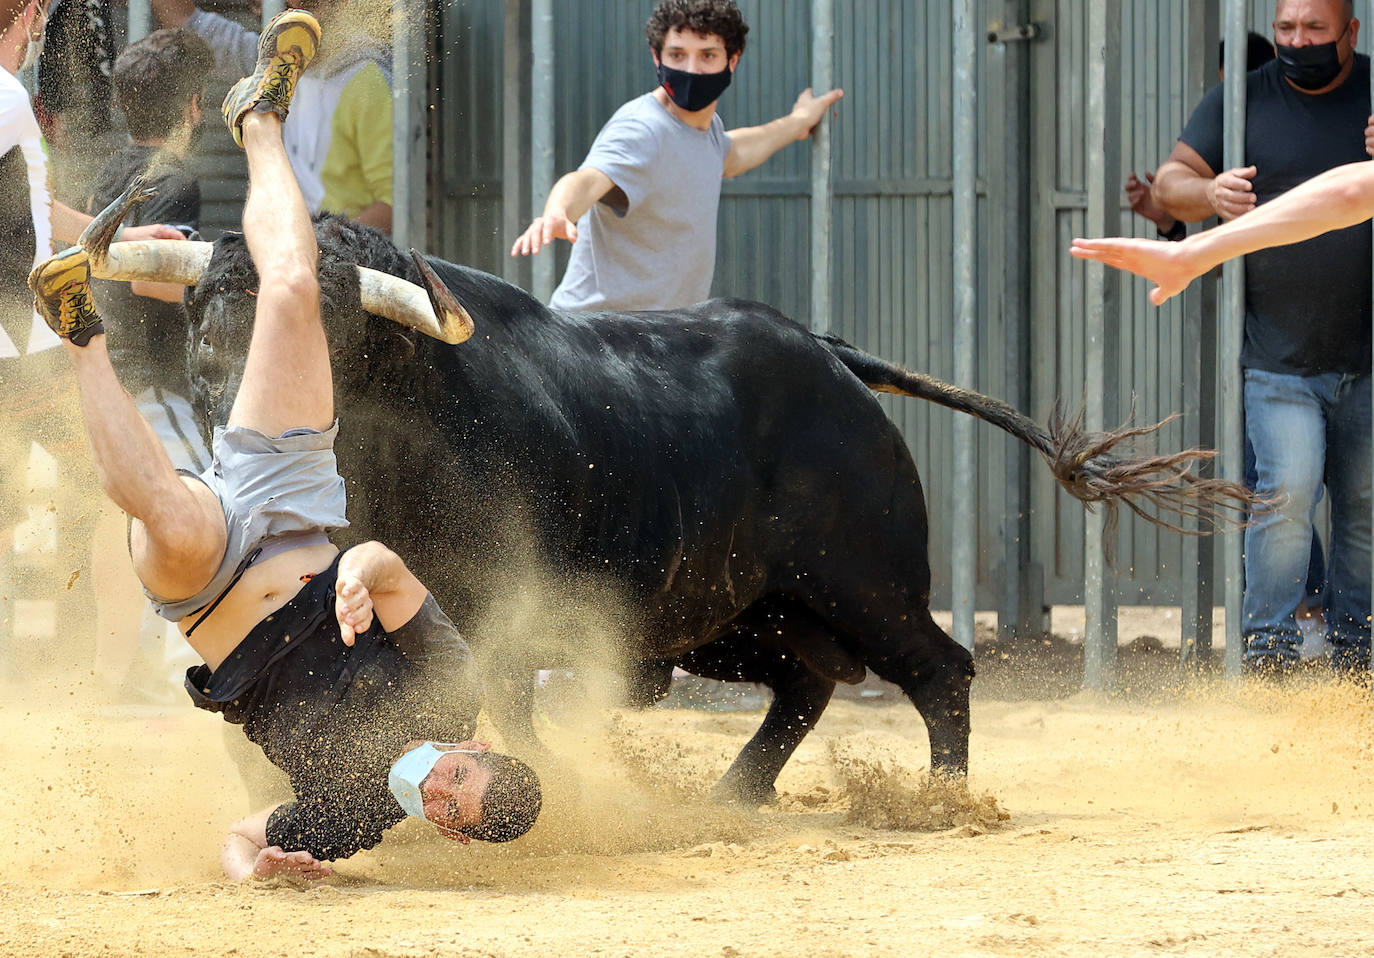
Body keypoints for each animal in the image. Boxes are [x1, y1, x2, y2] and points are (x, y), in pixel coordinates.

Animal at [185, 217, 1258, 797]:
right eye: (204, 320)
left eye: (317, 321)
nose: (225, 401)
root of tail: (828, 354)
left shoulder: (503, 613)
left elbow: (508, 708)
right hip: (738, 615)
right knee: (808, 686)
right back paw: (733, 794)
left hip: (866, 581)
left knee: (940, 668)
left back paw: (941, 799)